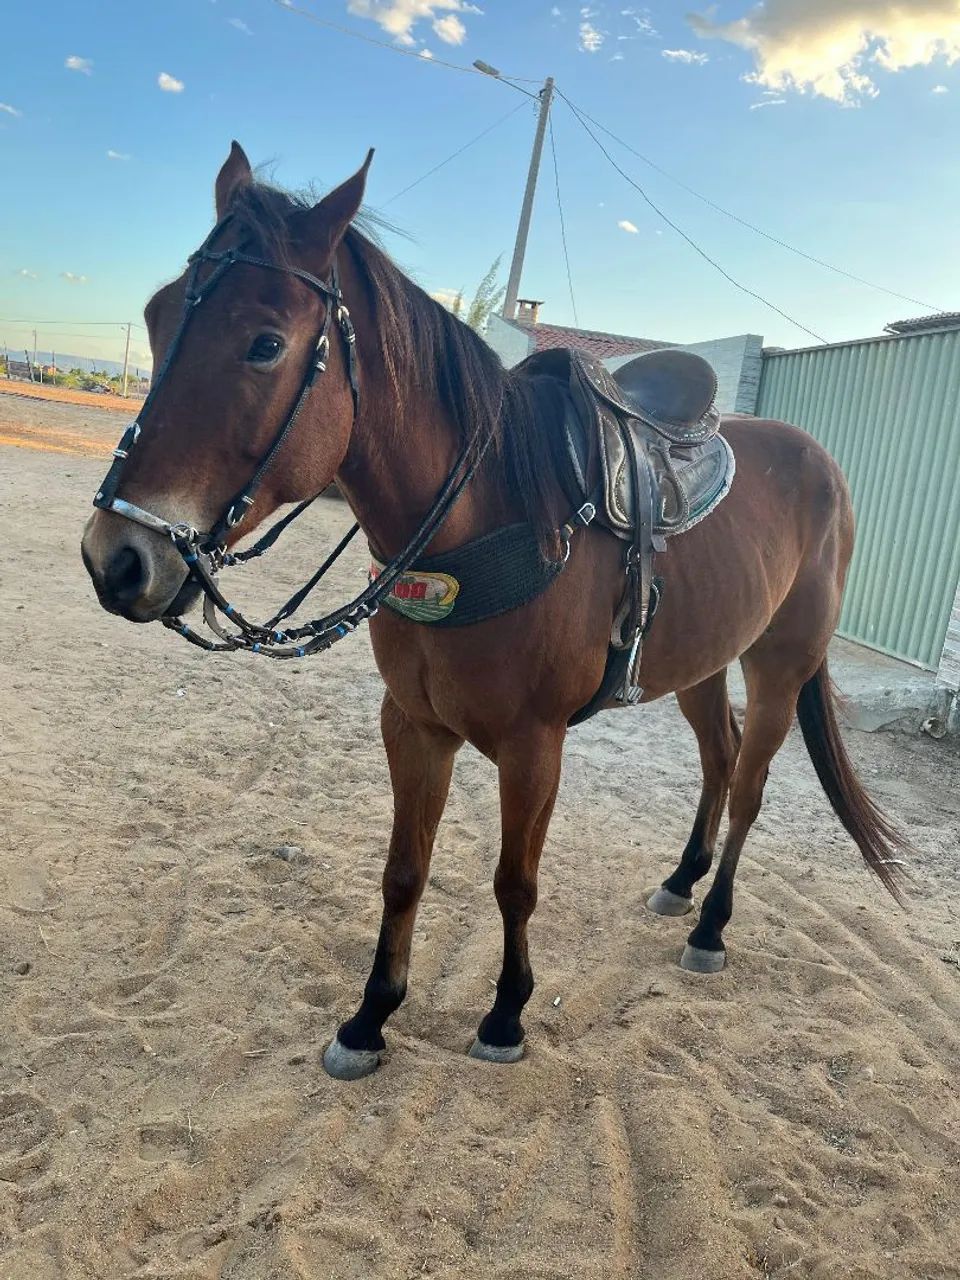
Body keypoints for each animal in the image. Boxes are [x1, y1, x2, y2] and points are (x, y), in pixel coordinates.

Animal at [81, 144, 907, 1081]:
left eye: (265, 343)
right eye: (156, 317)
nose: (117, 558)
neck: (491, 516)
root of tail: (819, 461)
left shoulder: (533, 743)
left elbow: (516, 881)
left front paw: (506, 1014)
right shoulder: (412, 725)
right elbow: (404, 870)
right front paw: (369, 1018)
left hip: (780, 663)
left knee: (751, 788)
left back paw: (710, 926)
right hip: (701, 658)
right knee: (720, 758)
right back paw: (679, 882)